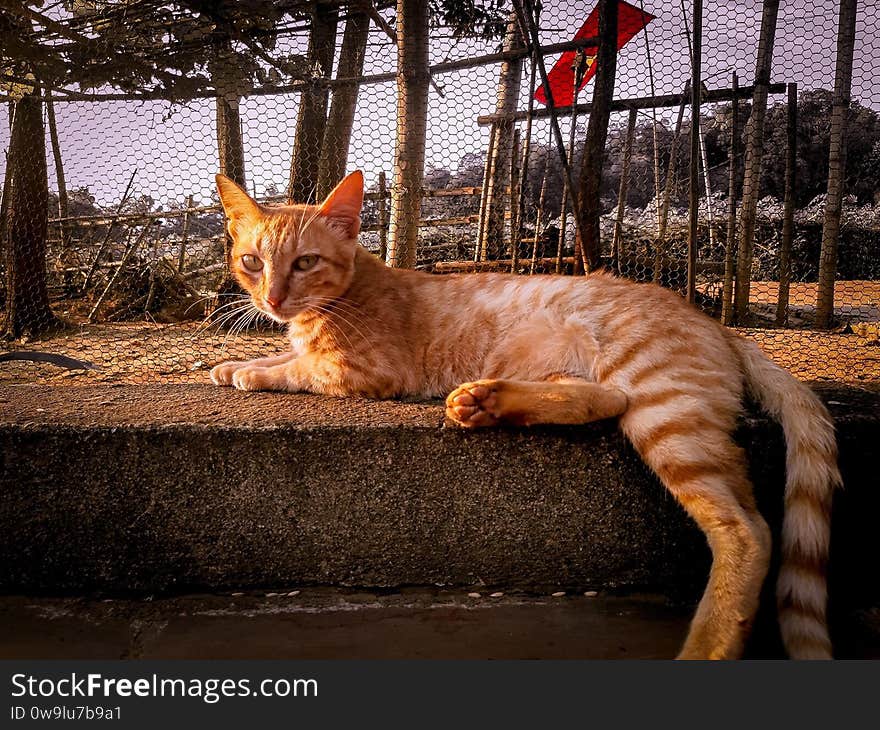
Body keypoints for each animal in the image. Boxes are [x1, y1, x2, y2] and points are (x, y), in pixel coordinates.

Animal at [211, 171, 840, 660]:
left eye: (305, 263)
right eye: (251, 262)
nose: (271, 300)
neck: (344, 294)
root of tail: (715, 323)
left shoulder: (363, 372)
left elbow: (299, 366)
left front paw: (252, 371)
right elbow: (285, 353)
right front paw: (234, 361)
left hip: (667, 412)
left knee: (748, 529)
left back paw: (708, 645)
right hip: (587, 381)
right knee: (601, 399)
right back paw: (484, 402)